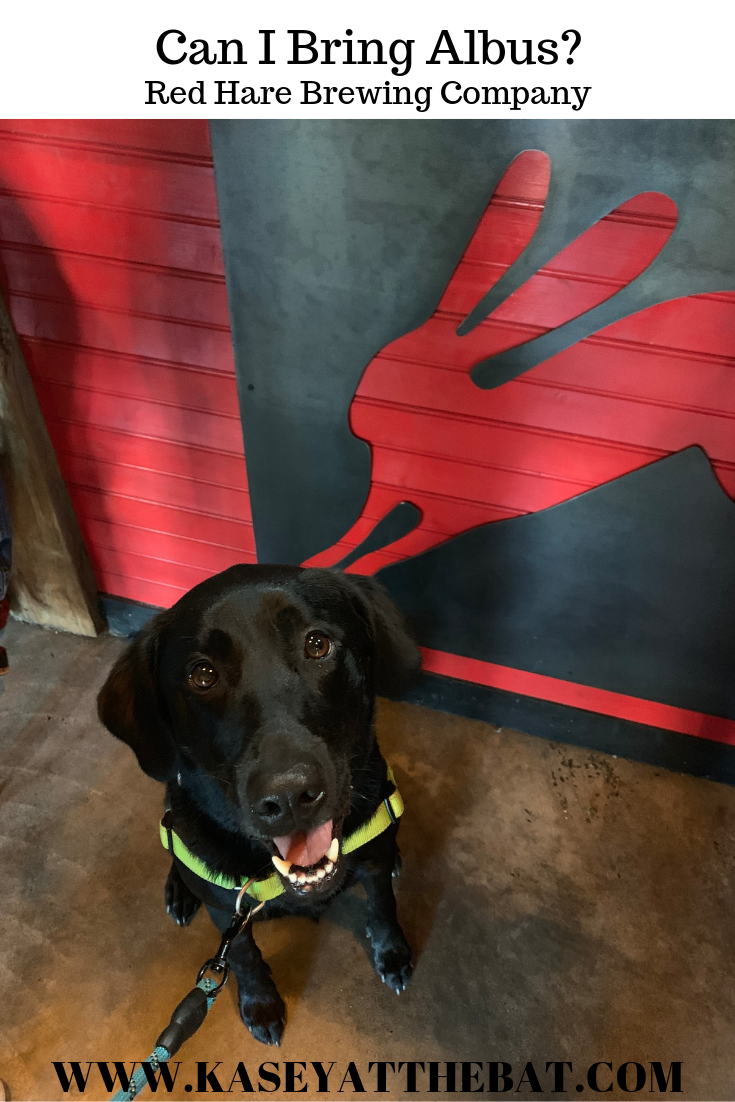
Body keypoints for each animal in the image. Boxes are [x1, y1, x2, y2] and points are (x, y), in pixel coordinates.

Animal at [97, 568, 418, 1040]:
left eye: (317, 644)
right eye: (203, 674)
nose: (289, 796)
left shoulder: (373, 862)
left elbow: (382, 905)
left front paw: (391, 951)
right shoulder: (225, 906)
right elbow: (242, 953)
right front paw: (260, 1001)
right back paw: (179, 889)